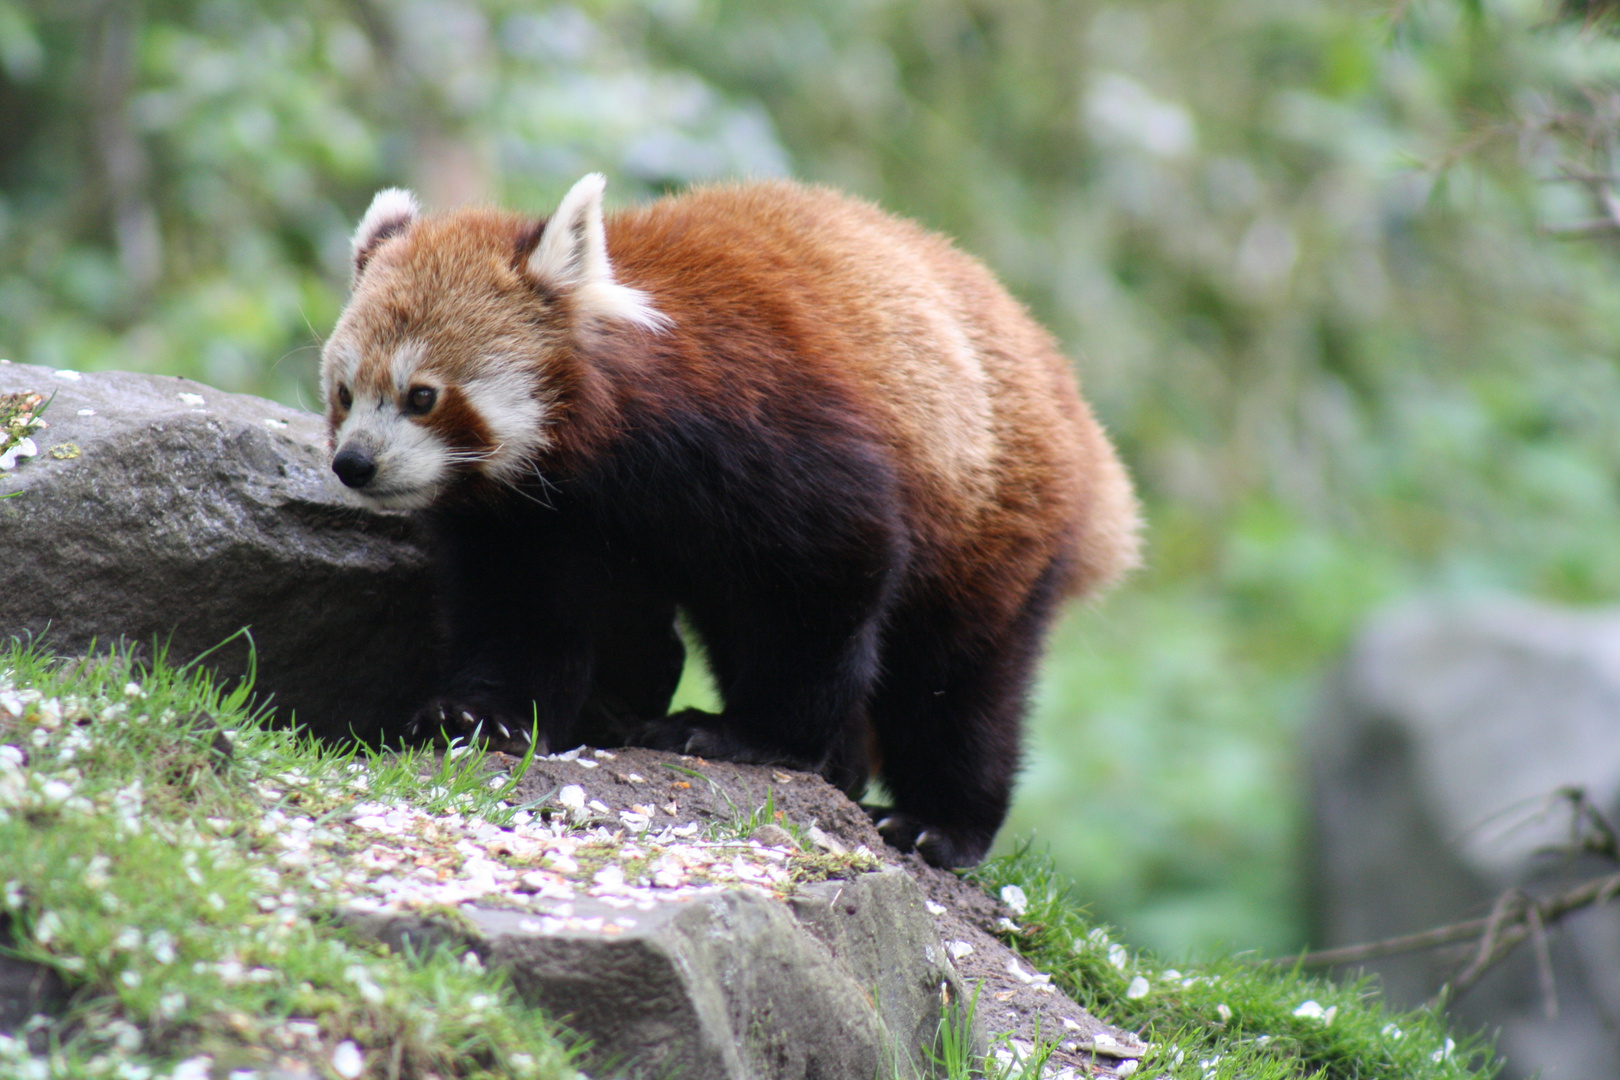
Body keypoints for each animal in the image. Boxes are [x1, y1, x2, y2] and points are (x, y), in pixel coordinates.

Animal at [319, 177, 1140, 867]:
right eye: (344, 393)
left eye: (422, 396)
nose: (353, 463)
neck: (595, 455)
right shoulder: (528, 516)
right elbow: (521, 610)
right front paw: (484, 717)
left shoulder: (764, 432)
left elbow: (826, 580)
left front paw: (748, 737)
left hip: (994, 511)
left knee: (955, 678)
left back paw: (936, 821)